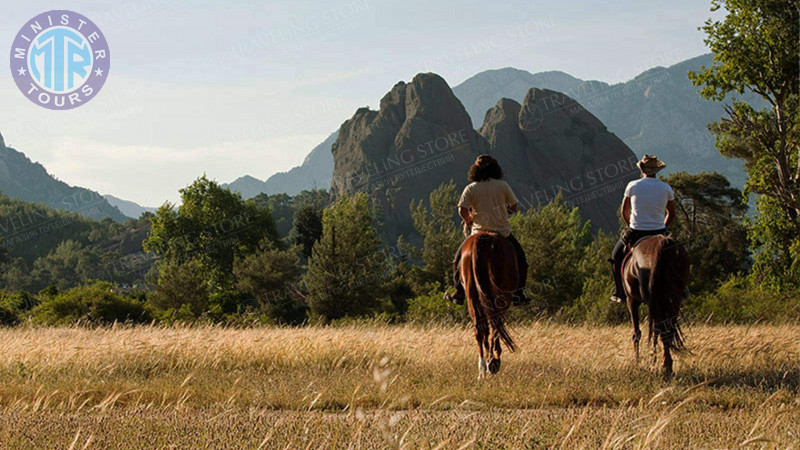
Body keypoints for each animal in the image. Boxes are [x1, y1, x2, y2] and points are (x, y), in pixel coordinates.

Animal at [456, 230, 520, 378]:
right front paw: (494, 359)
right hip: (501, 295)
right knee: (496, 323)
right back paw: (492, 363)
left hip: (472, 295)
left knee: (480, 329)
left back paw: (482, 369)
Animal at [620, 232, 692, 376]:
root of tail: (663, 245)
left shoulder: (632, 301)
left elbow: (637, 333)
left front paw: (637, 362)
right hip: (673, 297)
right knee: (667, 328)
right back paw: (667, 364)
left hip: (653, 300)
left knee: (660, 328)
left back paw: (664, 364)